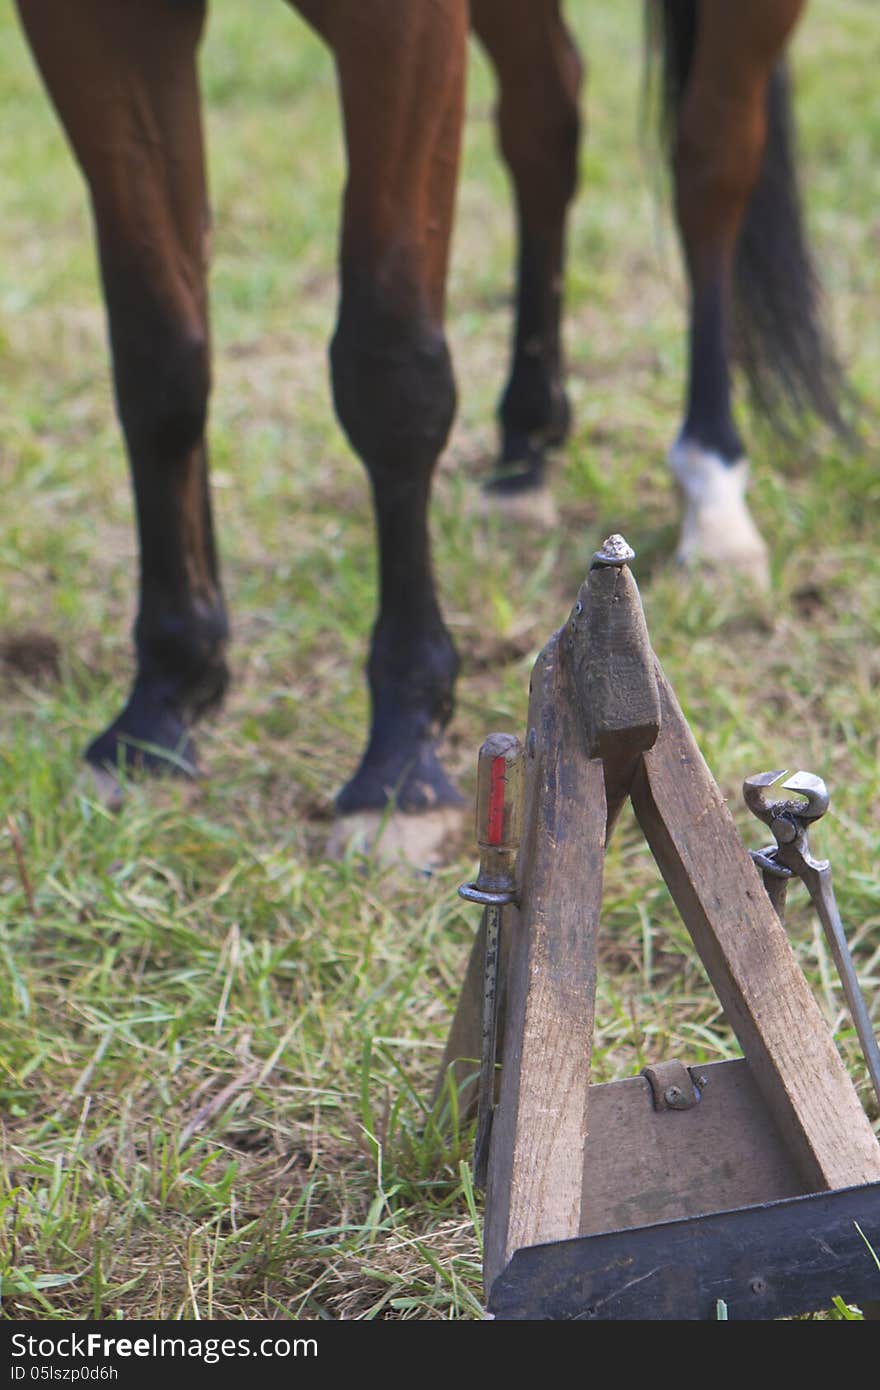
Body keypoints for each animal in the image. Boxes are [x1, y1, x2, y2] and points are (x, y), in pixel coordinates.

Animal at [11, 0, 839, 828]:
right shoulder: (93, 26)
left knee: (709, 164)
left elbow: (390, 374)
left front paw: (400, 757)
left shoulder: (400, 28)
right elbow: (160, 360)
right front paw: (160, 705)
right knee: (547, 123)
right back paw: (522, 451)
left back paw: (712, 480)